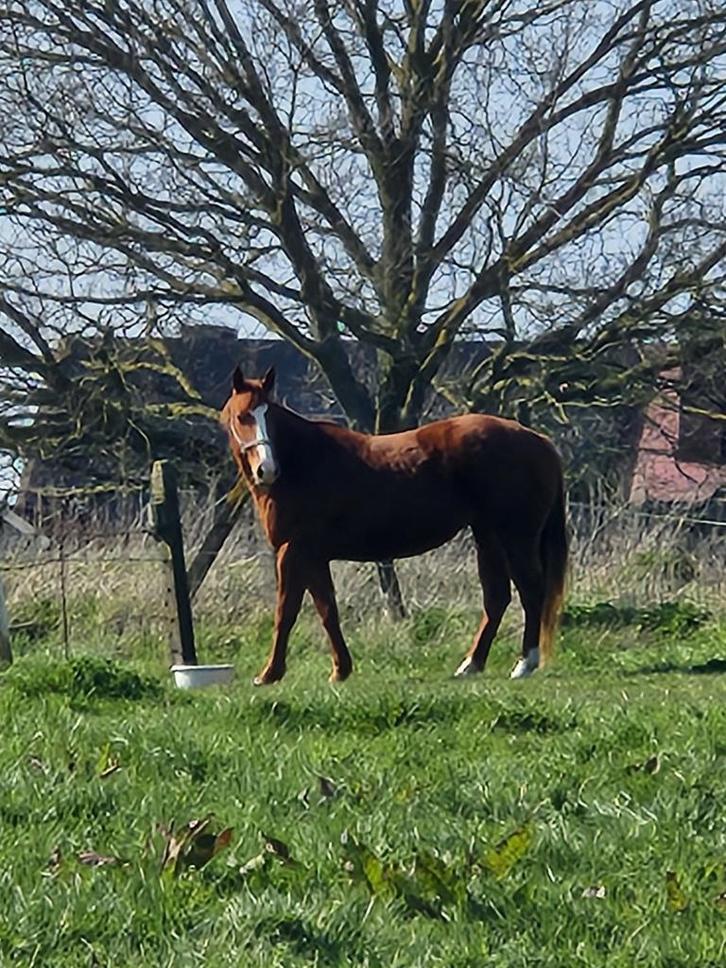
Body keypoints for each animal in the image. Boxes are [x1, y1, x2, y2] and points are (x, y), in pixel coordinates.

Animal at [221, 366, 568, 686]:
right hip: (488, 537)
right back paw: (472, 664)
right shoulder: (314, 556)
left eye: (269, 417)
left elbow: (286, 612)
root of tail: (539, 440)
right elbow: (327, 610)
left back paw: (524, 664)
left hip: (516, 537)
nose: (267, 469)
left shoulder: (294, 551)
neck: (303, 462)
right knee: (497, 598)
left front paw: (270, 673)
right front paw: (341, 669)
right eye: (242, 416)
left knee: (531, 591)